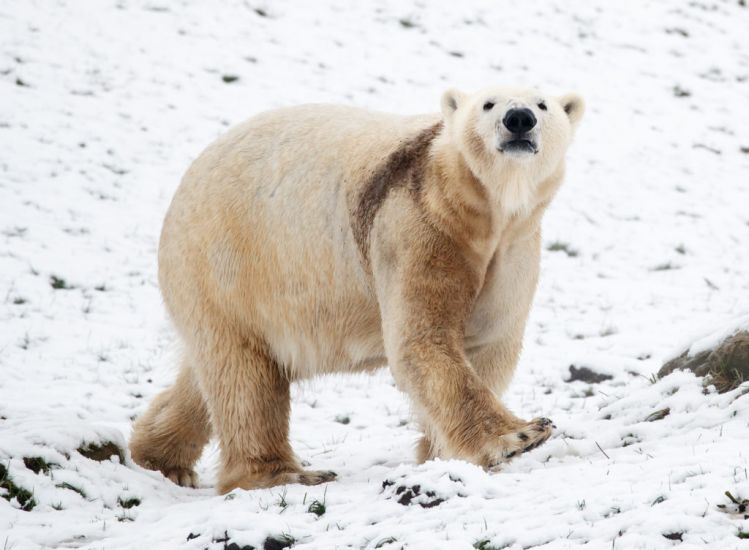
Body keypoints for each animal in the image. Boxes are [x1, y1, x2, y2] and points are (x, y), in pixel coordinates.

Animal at [130, 87, 584, 496]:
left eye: (542, 104)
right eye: (488, 103)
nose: (519, 119)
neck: (481, 210)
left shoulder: (513, 247)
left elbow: (488, 340)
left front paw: (438, 452)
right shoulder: (414, 227)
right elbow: (422, 339)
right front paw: (522, 435)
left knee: (208, 374)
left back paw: (159, 458)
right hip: (227, 263)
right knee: (245, 378)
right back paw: (284, 474)